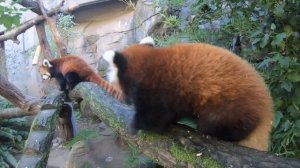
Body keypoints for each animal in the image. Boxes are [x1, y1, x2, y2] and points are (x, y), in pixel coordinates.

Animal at [102, 36, 274, 150]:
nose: (123, 99)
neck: (147, 64)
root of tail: (266, 107)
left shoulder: (156, 92)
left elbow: (154, 119)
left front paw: (135, 126)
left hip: (229, 107)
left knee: (220, 125)